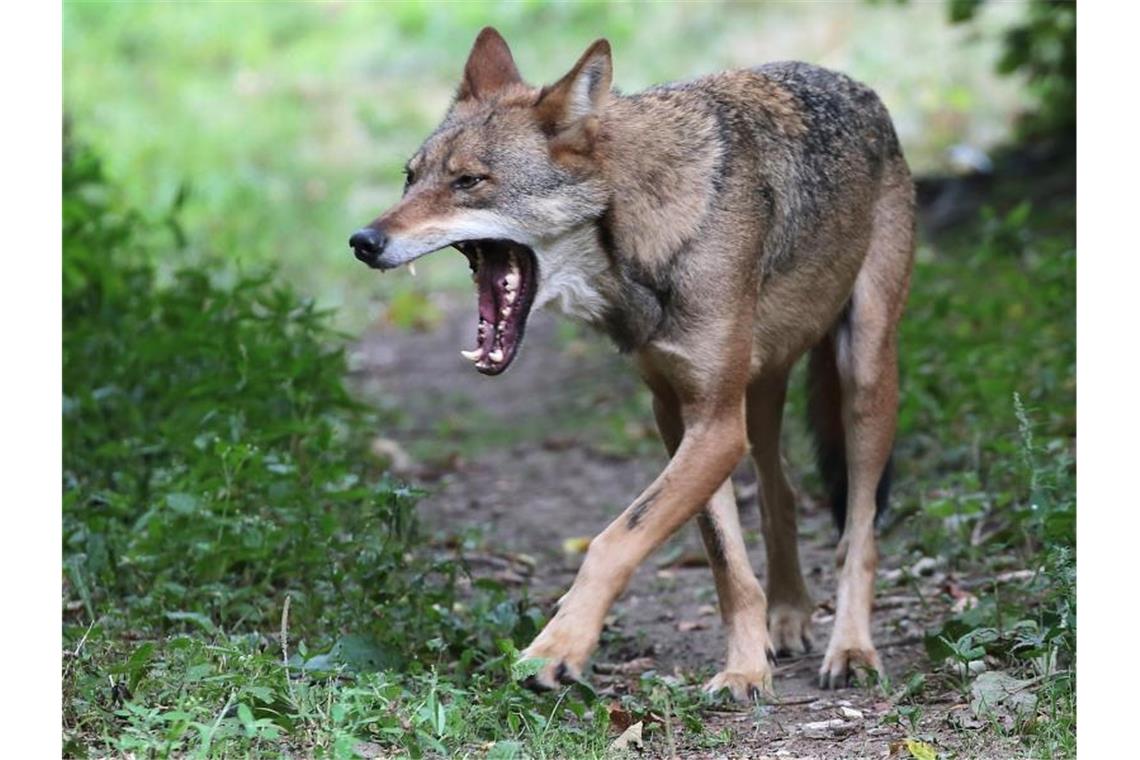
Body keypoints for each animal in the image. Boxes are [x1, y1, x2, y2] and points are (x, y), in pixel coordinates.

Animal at [348, 25, 916, 701]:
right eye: (410, 178)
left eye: (469, 181)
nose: (363, 241)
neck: (638, 236)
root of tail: (858, 88)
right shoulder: (680, 413)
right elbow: (726, 561)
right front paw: (746, 669)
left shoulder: (714, 426)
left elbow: (615, 541)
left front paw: (556, 651)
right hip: (760, 396)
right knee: (780, 496)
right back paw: (789, 618)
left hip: (864, 380)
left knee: (859, 531)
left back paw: (852, 650)